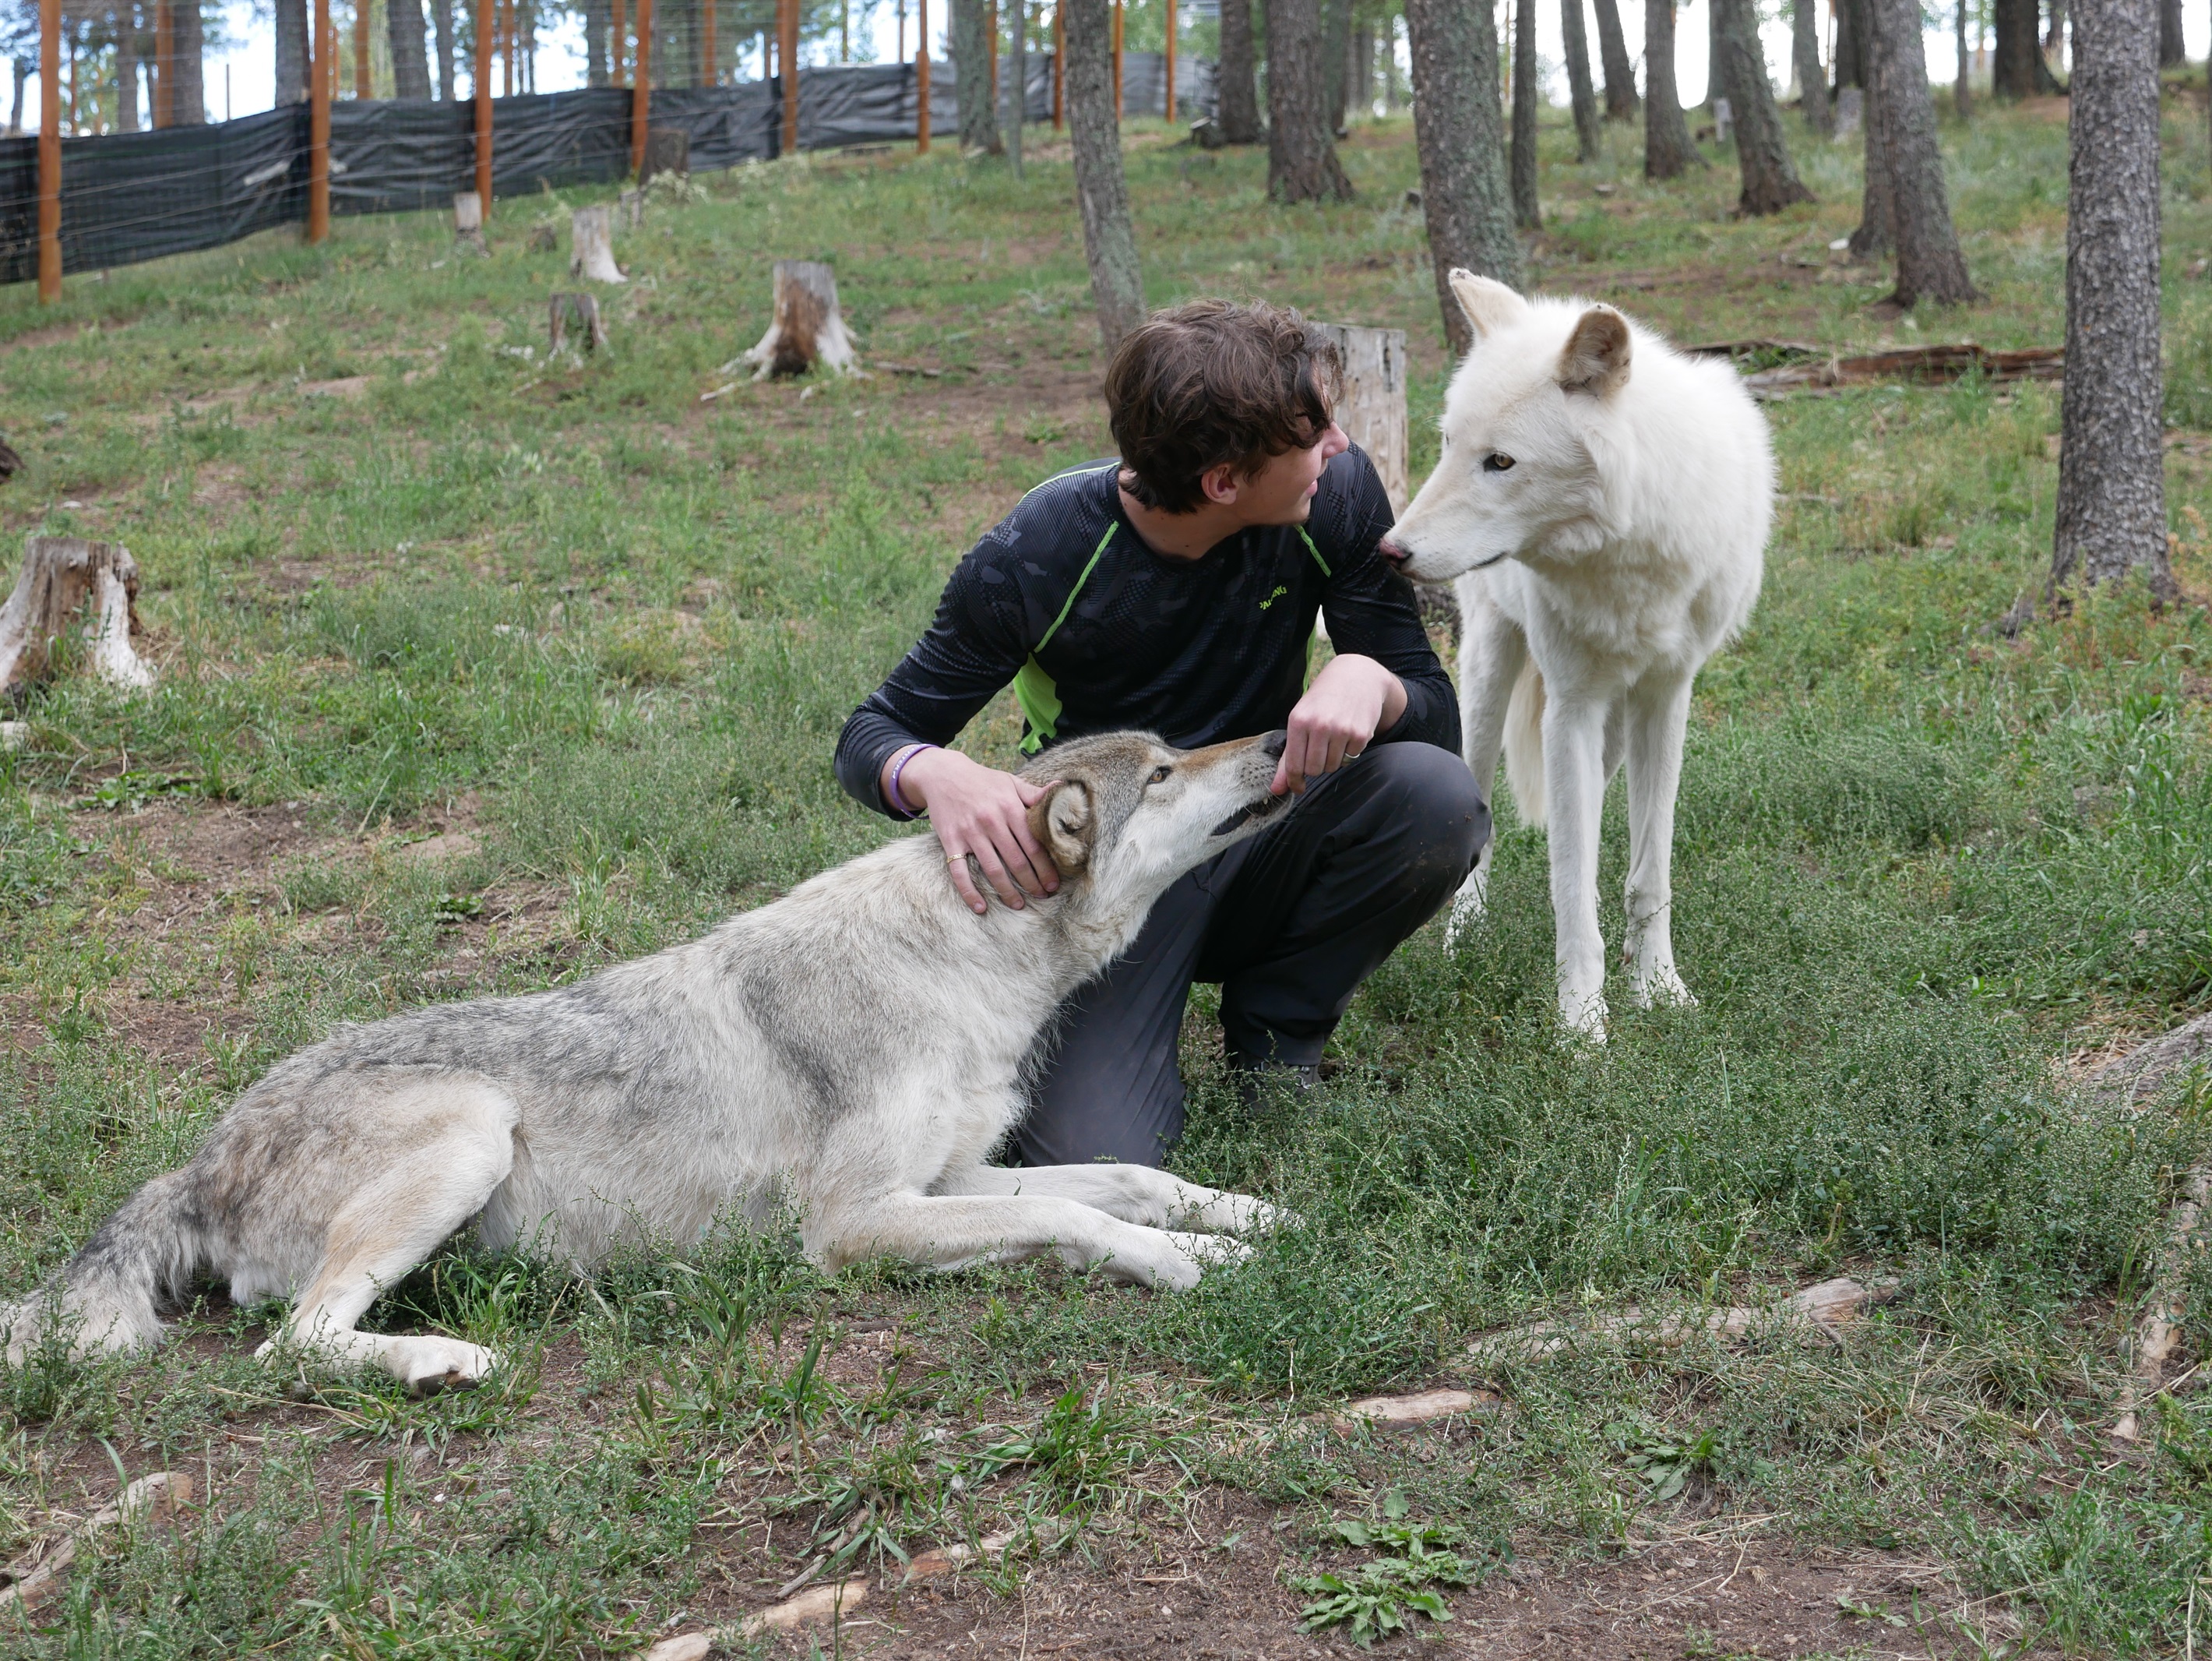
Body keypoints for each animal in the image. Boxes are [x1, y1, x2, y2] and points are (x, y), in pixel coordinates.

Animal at [3, 732, 1296, 1392]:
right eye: (1166, 771)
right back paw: (445, 1360)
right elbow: (1081, 1218)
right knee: (296, 1345)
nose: (1283, 731)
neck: (963, 963)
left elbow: (1123, 1181)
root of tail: (198, 1158)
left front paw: (1251, 1222)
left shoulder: (950, 1181)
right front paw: (1188, 1264)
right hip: (472, 1131)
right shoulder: (855, 1224)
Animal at [1382, 271, 1771, 1041]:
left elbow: (1648, 873)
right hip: (1489, 677)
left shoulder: (1665, 698)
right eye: (1448, 444)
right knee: (1486, 811)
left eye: (1500, 461)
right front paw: (1584, 1026)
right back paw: (1464, 936)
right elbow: (1570, 883)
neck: (1629, 555)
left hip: (1612, 731)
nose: (1391, 549)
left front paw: (1659, 989)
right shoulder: (1569, 709)